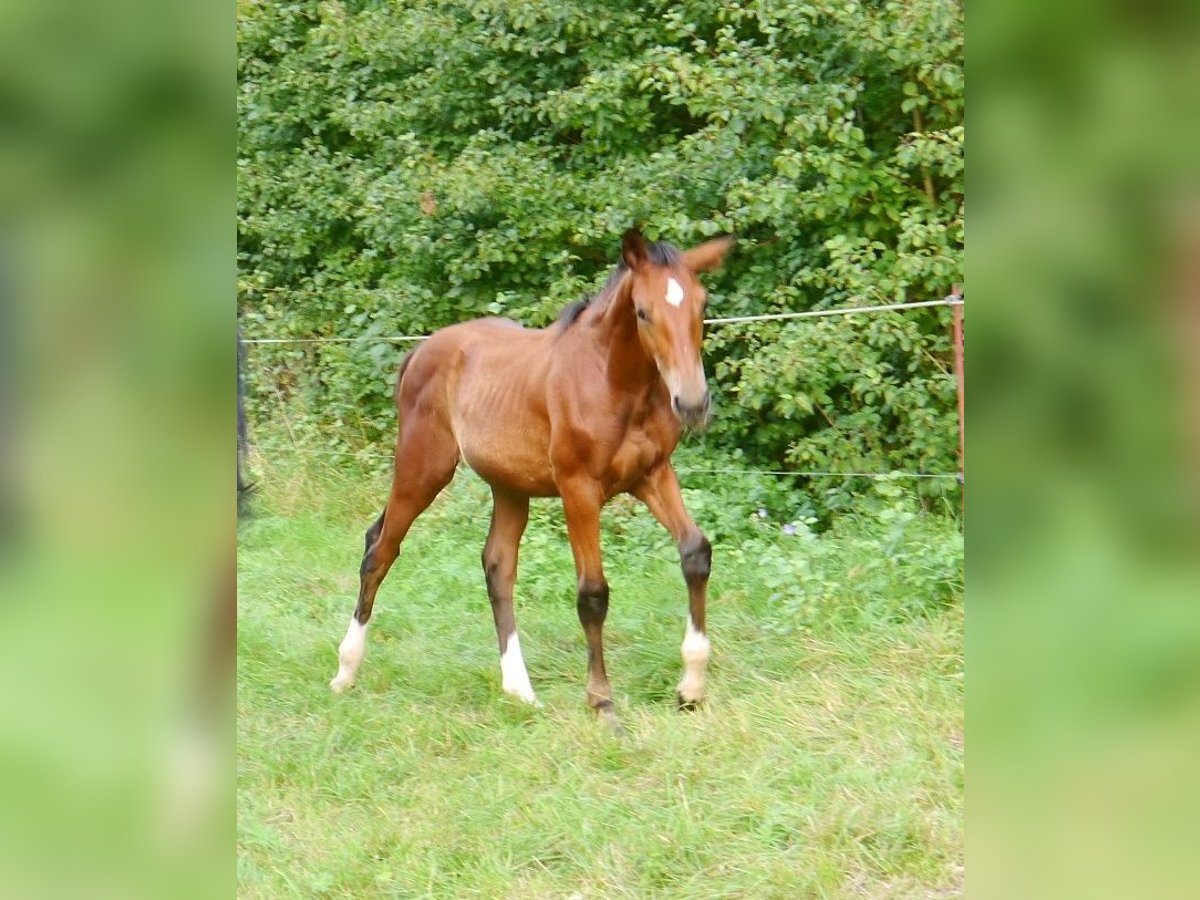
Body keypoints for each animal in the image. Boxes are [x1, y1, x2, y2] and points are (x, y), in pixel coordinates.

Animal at [333, 226, 734, 734]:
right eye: (643, 312)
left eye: (702, 306)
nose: (693, 403)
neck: (614, 383)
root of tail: (420, 350)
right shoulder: (578, 488)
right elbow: (593, 592)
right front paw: (602, 703)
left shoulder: (652, 474)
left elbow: (695, 552)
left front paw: (691, 688)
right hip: (422, 468)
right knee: (381, 549)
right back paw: (345, 671)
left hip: (509, 485)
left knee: (497, 565)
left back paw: (519, 690)